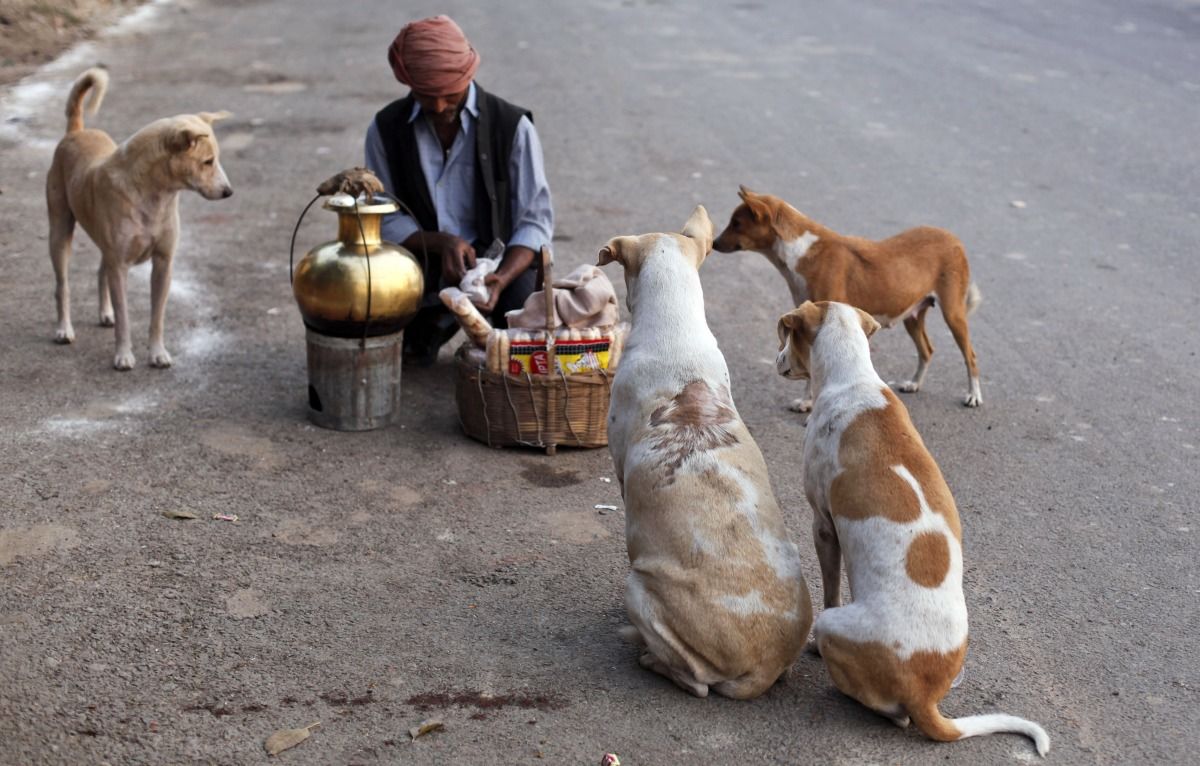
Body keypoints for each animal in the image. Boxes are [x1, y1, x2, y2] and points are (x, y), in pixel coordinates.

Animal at [45, 67, 231, 374]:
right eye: (207, 161)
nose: (229, 192)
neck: (154, 195)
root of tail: (76, 131)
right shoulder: (120, 266)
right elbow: (125, 319)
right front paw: (123, 356)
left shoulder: (163, 263)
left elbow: (157, 317)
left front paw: (158, 354)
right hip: (59, 233)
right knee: (63, 286)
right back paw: (63, 329)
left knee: (100, 272)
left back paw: (104, 313)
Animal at [715, 188, 979, 410]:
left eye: (736, 224)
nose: (714, 243)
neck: (802, 252)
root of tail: (954, 238)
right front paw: (806, 401)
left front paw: (807, 403)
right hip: (912, 316)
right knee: (927, 350)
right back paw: (914, 383)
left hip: (953, 314)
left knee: (970, 356)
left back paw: (973, 396)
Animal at [777, 301, 1051, 758]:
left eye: (786, 335)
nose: (777, 359)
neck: (852, 379)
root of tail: (924, 697)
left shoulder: (823, 525)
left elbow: (831, 586)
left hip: (833, 625)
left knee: (894, 713)